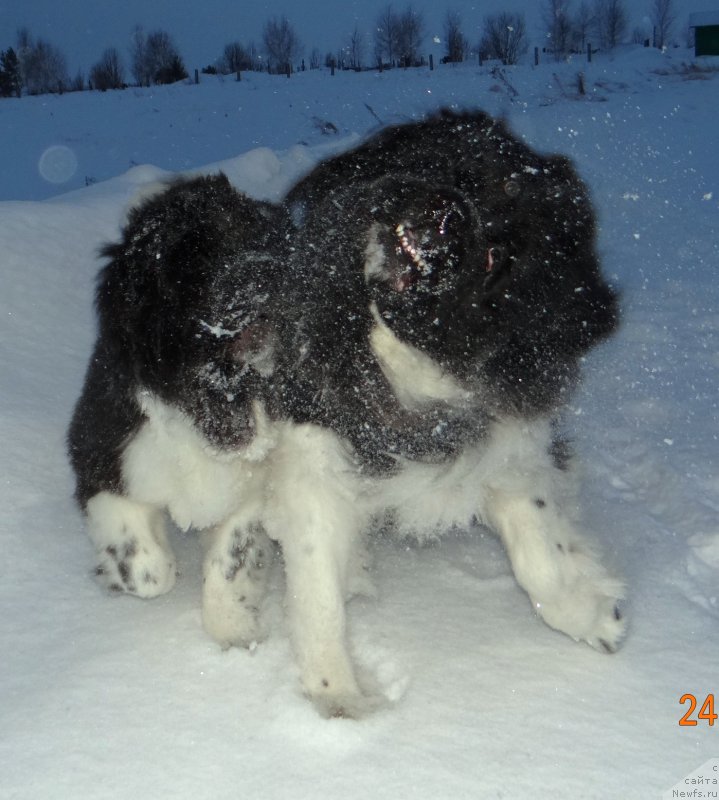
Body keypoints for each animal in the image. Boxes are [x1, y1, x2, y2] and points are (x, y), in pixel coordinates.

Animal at [70, 109, 628, 716]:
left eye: (496, 254)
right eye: (448, 167)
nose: (445, 209)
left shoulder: (501, 446)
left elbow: (541, 551)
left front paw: (593, 614)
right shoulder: (131, 452)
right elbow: (300, 593)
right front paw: (338, 698)